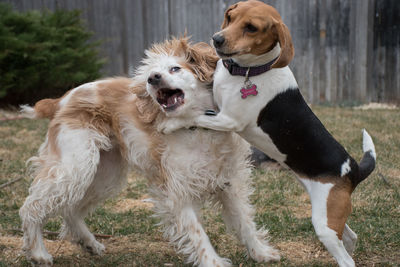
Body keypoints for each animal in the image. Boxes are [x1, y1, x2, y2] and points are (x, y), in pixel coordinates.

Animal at [18, 38, 280, 267]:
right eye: (150, 74)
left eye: (175, 68)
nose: (153, 78)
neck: (199, 128)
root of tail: (61, 100)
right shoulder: (176, 192)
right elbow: (197, 233)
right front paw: (212, 262)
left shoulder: (229, 183)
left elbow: (245, 222)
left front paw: (260, 252)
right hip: (74, 167)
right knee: (32, 206)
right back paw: (38, 252)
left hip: (102, 174)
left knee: (70, 209)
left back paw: (89, 243)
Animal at [161, 2, 376, 267]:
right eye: (230, 17)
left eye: (251, 27)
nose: (216, 39)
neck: (248, 72)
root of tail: (353, 168)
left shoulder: (227, 119)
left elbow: (194, 115)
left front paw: (170, 123)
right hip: (328, 212)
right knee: (350, 237)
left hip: (324, 222)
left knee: (346, 259)